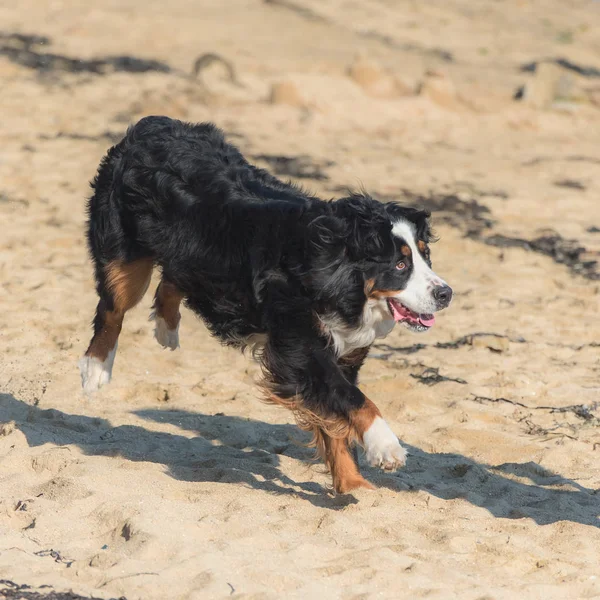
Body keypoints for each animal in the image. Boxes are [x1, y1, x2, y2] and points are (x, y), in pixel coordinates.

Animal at [79, 116, 452, 492]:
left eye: (425, 256)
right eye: (400, 265)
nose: (445, 293)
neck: (334, 271)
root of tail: (153, 123)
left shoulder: (342, 354)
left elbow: (336, 421)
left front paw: (353, 486)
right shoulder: (301, 348)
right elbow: (354, 400)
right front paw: (385, 446)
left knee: (172, 279)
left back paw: (166, 326)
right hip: (125, 256)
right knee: (112, 309)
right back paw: (96, 369)